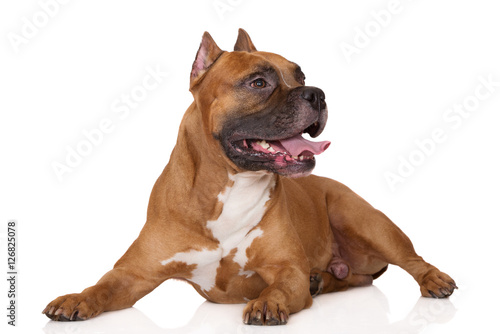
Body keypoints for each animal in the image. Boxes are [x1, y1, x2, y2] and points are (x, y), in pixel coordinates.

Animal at [44, 29, 458, 326]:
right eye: (258, 82)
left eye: (301, 76)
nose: (318, 94)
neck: (230, 185)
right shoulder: (132, 274)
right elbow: (101, 287)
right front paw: (76, 298)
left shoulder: (286, 270)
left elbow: (280, 288)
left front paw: (267, 303)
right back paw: (321, 280)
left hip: (364, 219)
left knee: (412, 259)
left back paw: (434, 280)